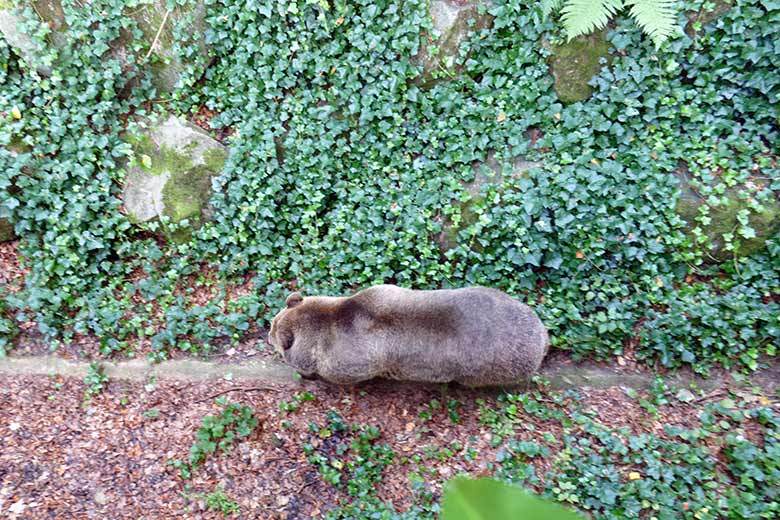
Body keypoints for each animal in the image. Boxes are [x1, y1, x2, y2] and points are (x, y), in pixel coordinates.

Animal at [272, 284, 552, 386]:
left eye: (272, 331)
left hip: (492, 368)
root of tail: (542, 336)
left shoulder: (348, 362)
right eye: (274, 321)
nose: (268, 333)